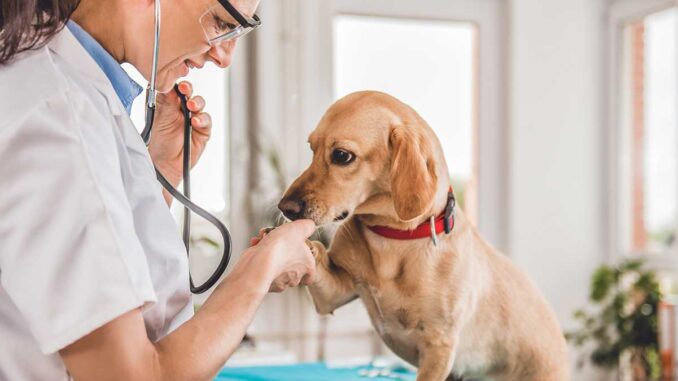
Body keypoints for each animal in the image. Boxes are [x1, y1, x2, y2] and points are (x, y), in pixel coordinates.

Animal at [278, 90, 572, 378]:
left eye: (341, 155)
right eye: (311, 148)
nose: (284, 208)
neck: (392, 239)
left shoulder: (438, 346)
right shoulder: (333, 294)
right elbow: (318, 258)